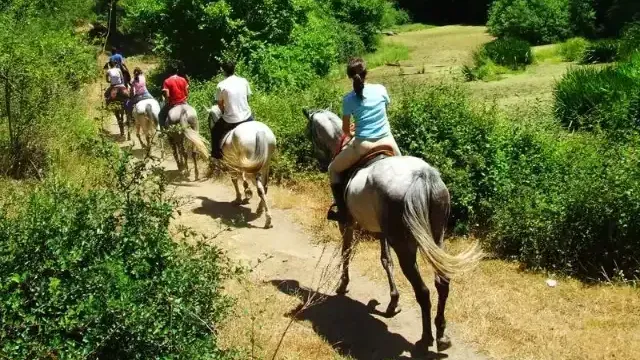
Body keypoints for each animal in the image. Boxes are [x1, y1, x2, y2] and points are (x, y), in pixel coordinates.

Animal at [302, 109, 482, 354]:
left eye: (310, 132)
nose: (321, 161)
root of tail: (422, 176)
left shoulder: (348, 225)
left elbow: (347, 253)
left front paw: (343, 285)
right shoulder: (382, 233)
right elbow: (386, 260)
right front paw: (392, 302)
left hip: (404, 245)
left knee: (423, 291)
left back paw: (425, 338)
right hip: (436, 237)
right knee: (442, 283)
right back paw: (442, 335)